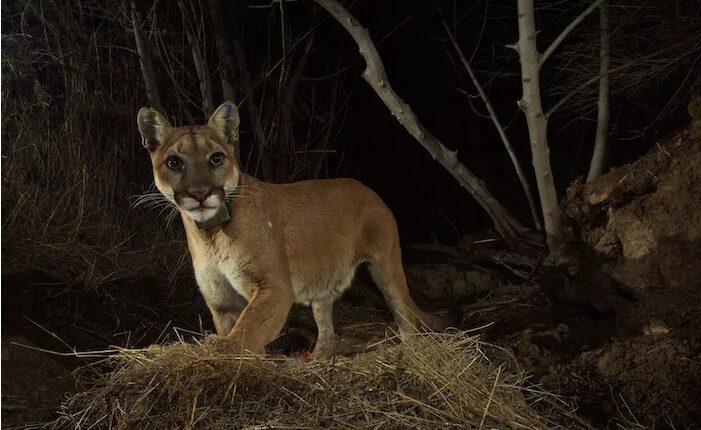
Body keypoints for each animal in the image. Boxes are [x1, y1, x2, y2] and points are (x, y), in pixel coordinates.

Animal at [136, 101, 456, 358]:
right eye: (174, 162)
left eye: (216, 158)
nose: (200, 193)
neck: (210, 233)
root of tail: (368, 189)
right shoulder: (221, 300)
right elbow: (242, 330)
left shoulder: (274, 287)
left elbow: (249, 328)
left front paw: (223, 350)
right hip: (324, 280)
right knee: (327, 327)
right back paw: (318, 360)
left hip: (386, 266)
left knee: (404, 313)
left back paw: (411, 353)